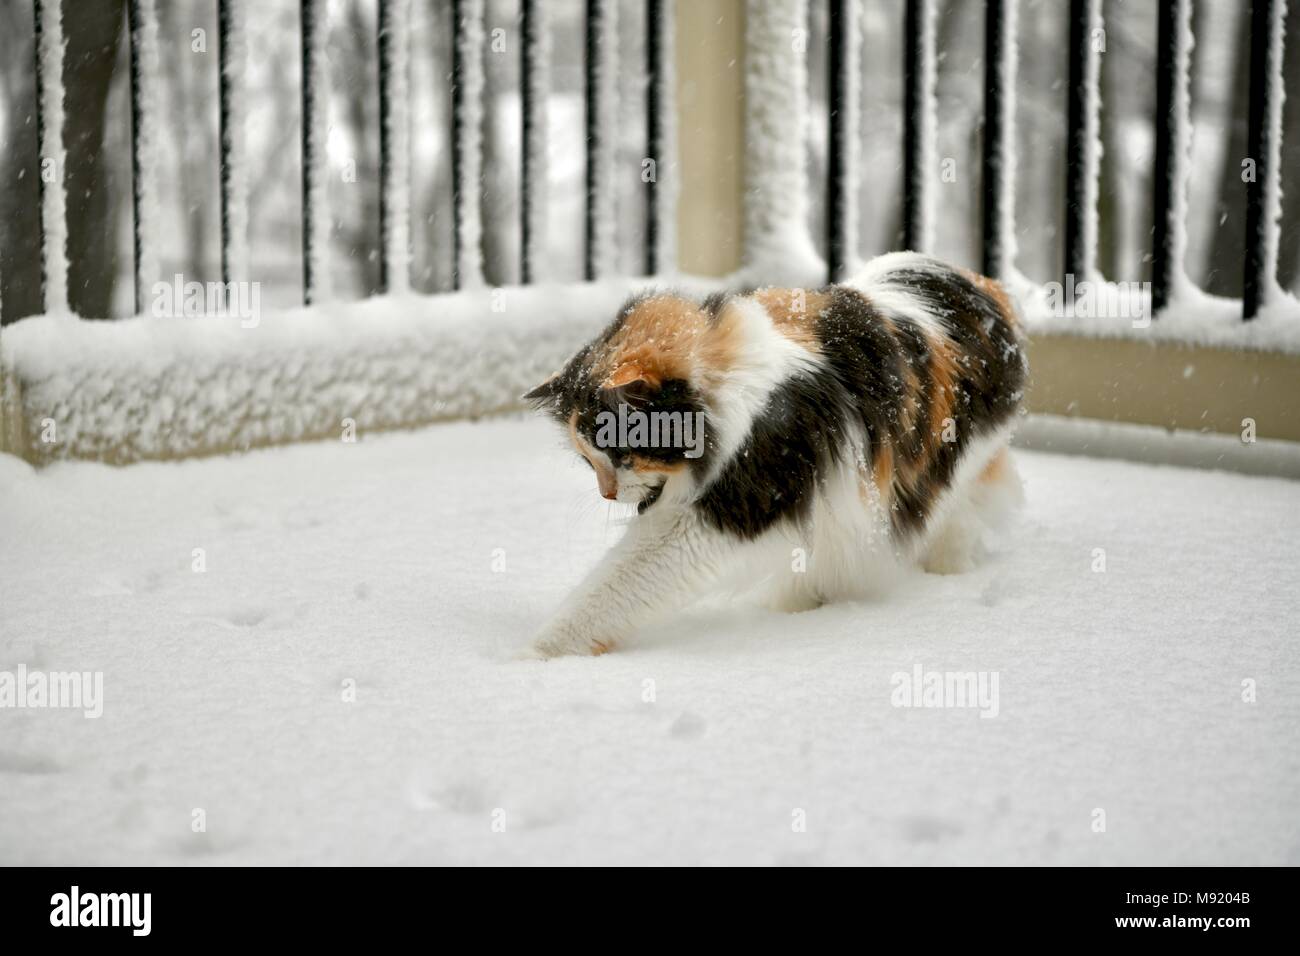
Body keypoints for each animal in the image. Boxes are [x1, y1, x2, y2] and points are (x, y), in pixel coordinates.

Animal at [522, 252, 1029, 658]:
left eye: (621, 452)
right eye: (588, 461)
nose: (607, 494)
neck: (739, 383)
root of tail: (973, 280)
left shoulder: (733, 505)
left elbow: (617, 583)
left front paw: (536, 657)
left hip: (958, 465)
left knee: (957, 513)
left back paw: (946, 571)